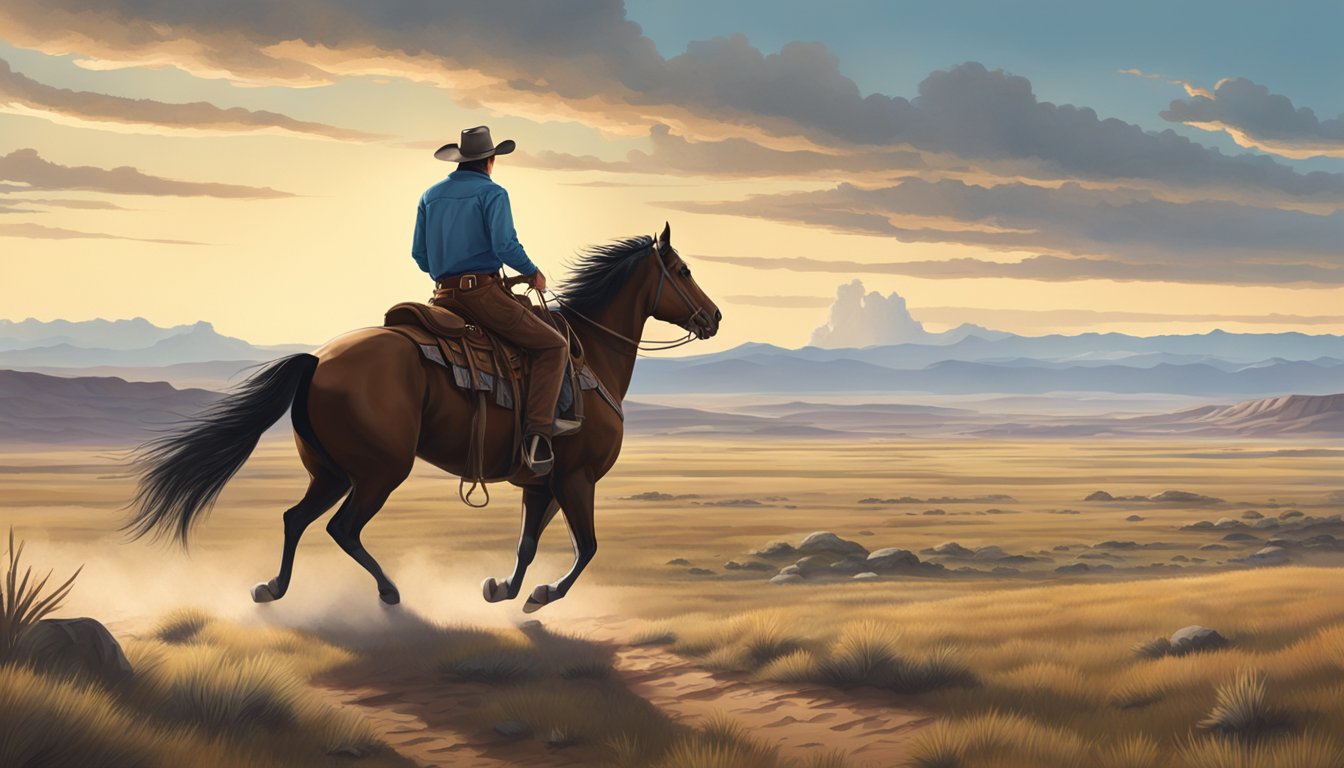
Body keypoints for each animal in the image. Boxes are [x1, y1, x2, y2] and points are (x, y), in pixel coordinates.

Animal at [120, 221, 720, 613]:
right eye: (683, 269)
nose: (714, 316)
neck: (589, 354)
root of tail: (318, 360)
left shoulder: (542, 481)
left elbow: (528, 544)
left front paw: (504, 589)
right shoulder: (576, 478)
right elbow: (587, 548)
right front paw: (540, 595)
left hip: (331, 471)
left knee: (295, 519)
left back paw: (272, 589)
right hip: (380, 472)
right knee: (341, 527)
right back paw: (388, 593)